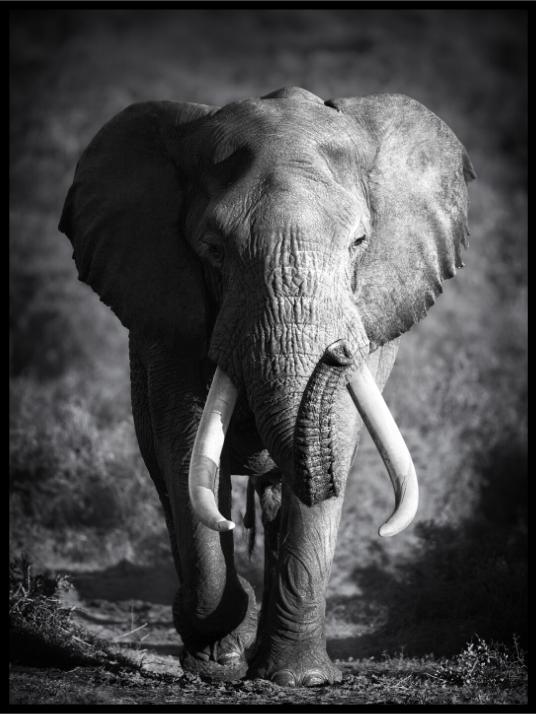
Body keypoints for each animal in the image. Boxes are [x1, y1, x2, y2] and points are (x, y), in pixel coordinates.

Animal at [59, 86, 475, 687]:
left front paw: (300, 679)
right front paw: (217, 658)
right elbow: (185, 448)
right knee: (168, 477)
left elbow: (337, 439)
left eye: (359, 242)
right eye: (213, 249)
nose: (338, 352)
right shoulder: (167, 314)